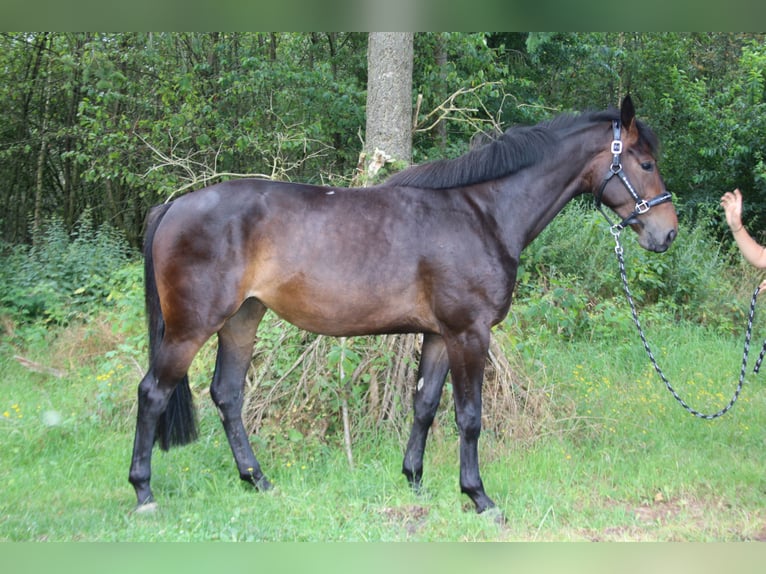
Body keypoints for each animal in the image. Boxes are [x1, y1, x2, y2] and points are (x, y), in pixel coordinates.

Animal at [130, 95, 680, 516]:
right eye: (646, 163)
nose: (667, 233)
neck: (483, 214)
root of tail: (174, 205)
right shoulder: (469, 333)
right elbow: (469, 416)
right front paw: (479, 497)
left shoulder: (439, 335)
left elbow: (425, 406)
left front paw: (415, 479)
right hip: (191, 327)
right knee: (153, 392)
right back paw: (144, 493)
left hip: (242, 319)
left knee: (227, 395)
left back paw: (258, 480)